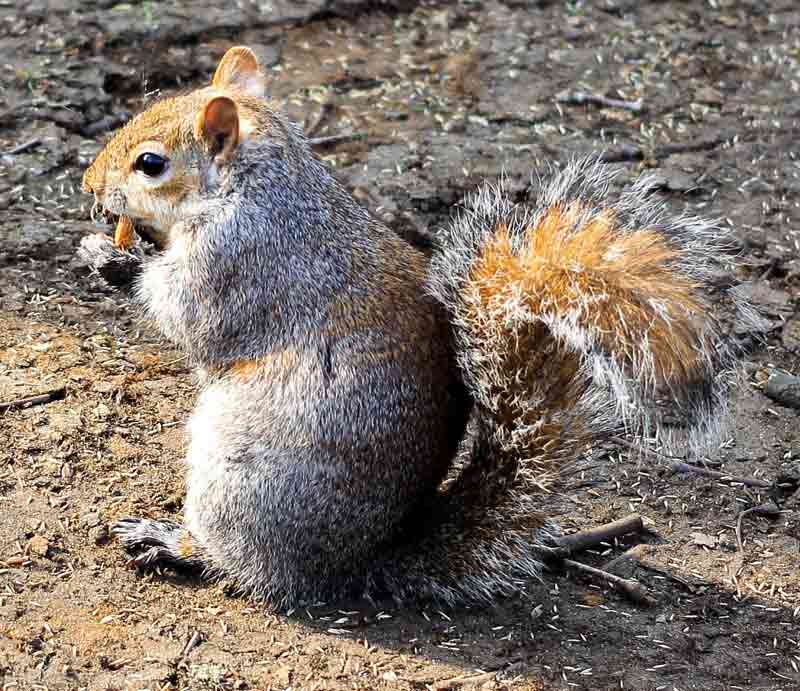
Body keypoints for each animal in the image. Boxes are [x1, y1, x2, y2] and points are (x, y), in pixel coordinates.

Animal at [79, 46, 758, 607]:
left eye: (150, 163)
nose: (88, 185)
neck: (255, 185)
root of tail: (359, 563)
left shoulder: (238, 257)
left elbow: (188, 315)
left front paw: (114, 260)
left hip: (239, 484)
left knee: (245, 567)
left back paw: (175, 543)